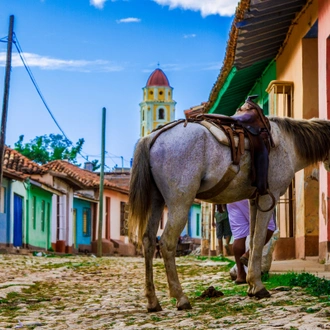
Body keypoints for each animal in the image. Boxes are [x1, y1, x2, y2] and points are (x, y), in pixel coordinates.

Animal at [127, 114, 330, 310]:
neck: (288, 143)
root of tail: (152, 137)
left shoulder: (254, 200)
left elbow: (252, 238)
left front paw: (251, 284)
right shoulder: (267, 197)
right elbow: (258, 240)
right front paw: (258, 287)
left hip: (156, 201)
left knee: (148, 241)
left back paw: (152, 302)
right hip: (180, 203)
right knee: (167, 243)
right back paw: (181, 298)